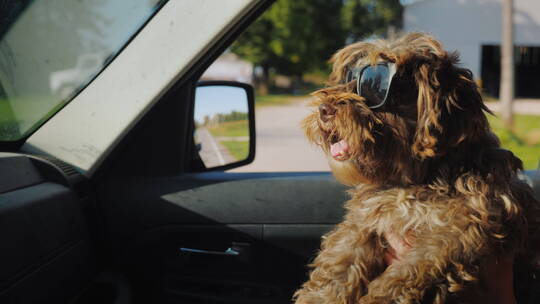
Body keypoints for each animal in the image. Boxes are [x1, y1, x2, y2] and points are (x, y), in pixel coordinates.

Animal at [296, 32, 540, 302]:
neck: (418, 176)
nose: (324, 109)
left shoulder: (468, 226)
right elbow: (341, 259)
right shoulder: (366, 220)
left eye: (375, 86)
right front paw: (320, 295)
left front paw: (380, 296)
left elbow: (416, 267)